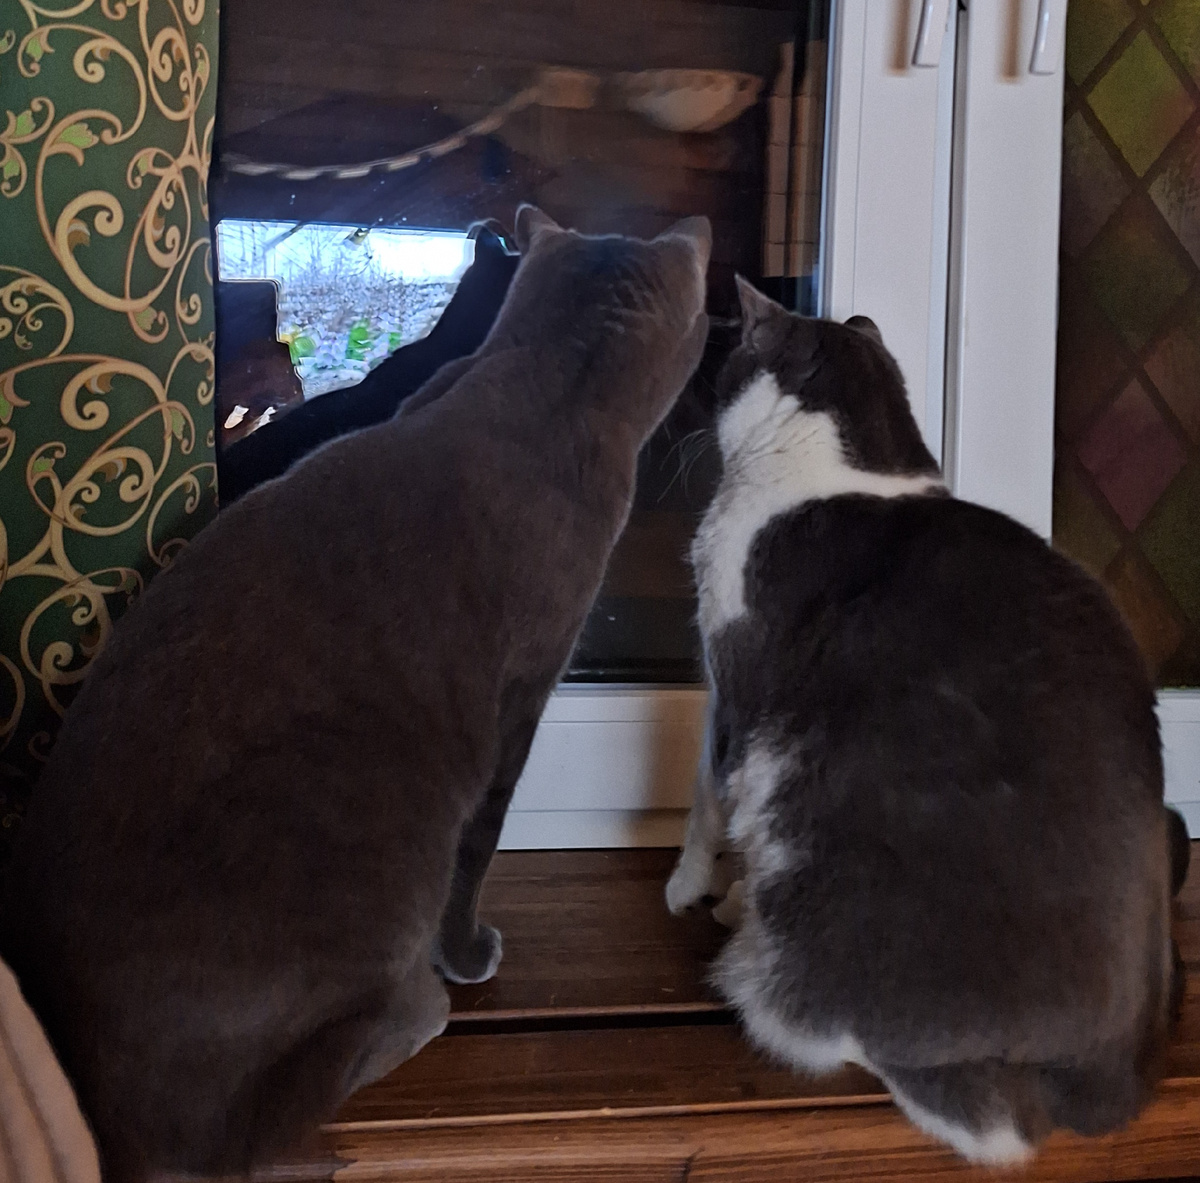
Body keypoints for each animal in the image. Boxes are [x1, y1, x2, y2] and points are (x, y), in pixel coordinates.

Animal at [666, 277, 1186, 1164]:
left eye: (731, 347)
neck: (845, 471)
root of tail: (1092, 1086)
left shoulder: (731, 685)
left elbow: (709, 801)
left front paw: (699, 890)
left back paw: (754, 965)